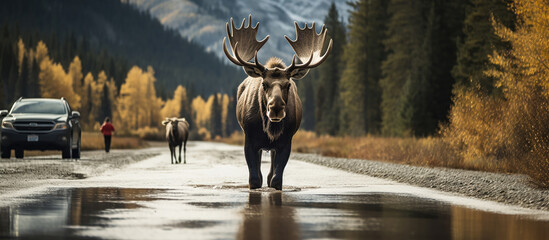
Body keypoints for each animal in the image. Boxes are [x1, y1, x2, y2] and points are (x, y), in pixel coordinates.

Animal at [222, 15, 332, 190]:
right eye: (264, 84)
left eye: (288, 85)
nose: (276, 108)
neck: (270, 128)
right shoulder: (249, 139)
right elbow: (254, 179)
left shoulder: (286, 141)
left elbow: (276, 180)